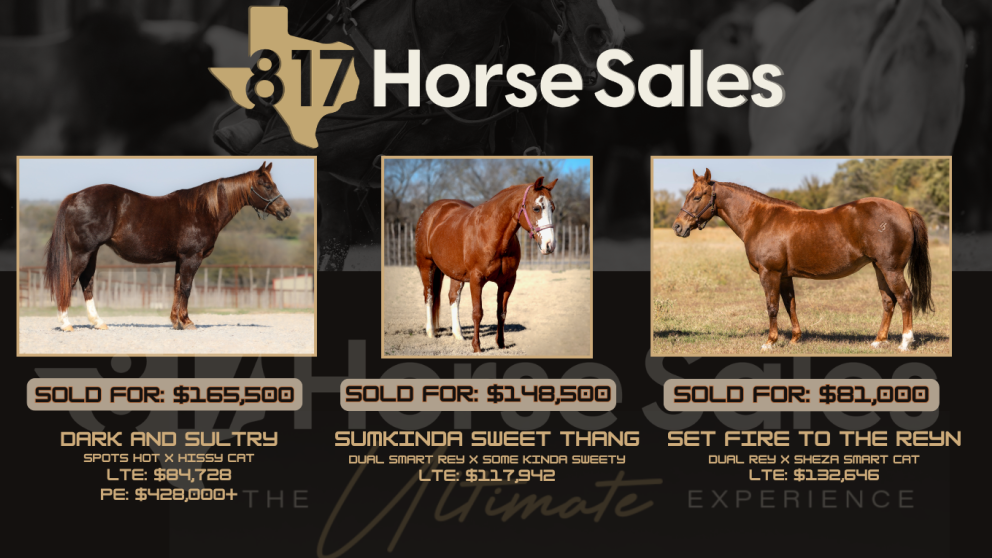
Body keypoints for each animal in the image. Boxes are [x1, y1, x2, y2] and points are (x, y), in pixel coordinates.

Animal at [43, 162, 292, 332]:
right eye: (266, 185)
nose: (286, 210)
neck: (202, 209)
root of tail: (75, 196)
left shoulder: (180, 259)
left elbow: (177, 287)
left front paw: (176, 321)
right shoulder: (192, 257)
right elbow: (187, 288)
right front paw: (187, 322)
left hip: (91, 253)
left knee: (87, 282)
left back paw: (98, 322)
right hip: (83, 252)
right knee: (69, 281)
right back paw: (66, 323)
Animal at [415, 176, 557, 352]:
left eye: (552, 208)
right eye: (537, 208)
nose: (550, 245)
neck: (492, 234)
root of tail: (430, 212)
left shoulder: (507, 282)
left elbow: (501, 313)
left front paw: (501, 344)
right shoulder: (476, 280)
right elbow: (477, 313)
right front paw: (477, 347)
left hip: (456, 273)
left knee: (453, 297)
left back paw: (458, 335)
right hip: (426, 265)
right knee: (429, 295)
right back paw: (431, 332)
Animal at [671, 168, 933, 351]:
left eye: (697, 197)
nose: (678, 226)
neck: (761, 219)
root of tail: (904, 210)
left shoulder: (770, 273)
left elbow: (772, 307)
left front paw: (770, 342)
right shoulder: (784, 276)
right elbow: (791, 305)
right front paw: (795, 338)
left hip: (891, 269)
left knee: (904, 298)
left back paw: (905, 342)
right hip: (880, 268)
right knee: (888, 301)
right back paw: (879, 341)